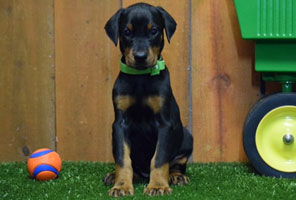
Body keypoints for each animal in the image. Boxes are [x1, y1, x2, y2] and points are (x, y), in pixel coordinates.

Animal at [103, 2, 192, 197]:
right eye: (126, 32)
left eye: (154, 31)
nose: (140, 57)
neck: (141, 78)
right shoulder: (120, 124)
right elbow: (122, 159)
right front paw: (121, 186)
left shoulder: (165, 124)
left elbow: (159, 158)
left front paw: (158, 186)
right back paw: (114, 176)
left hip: (187, 137)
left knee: (176, 164)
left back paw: (176, 176)